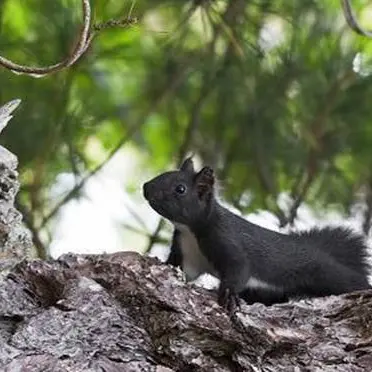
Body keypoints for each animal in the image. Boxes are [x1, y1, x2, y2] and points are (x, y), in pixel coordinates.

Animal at [142, 158, 370, 312]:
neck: (191, 231)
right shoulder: (188, 254)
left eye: (180, 189)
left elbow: (240, 268)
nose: (145, 187)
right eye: (165, 173)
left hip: (328, 273)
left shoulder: (227, 239)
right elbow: (181, 269)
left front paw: (229, 296)